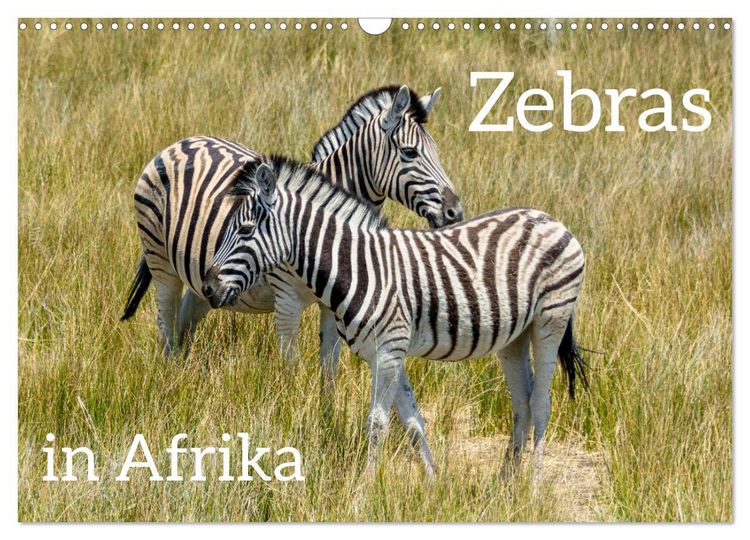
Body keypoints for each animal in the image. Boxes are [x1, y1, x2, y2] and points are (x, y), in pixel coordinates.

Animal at [121, 85, 463, 380]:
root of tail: (178, 144)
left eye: (436, 151)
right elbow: (290, 369)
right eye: (410, 152)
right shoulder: (286, 301)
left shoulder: (333, 304)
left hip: (201, 278)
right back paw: (169, 379)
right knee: (166, 323)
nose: (455, 212)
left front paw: (327, 413)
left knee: (184, 323)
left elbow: (330, 368)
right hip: (161, 261)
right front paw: (289, 409)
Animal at [202, 157, 588, 478]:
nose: (207, 288)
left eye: (246, 230)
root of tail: (551, 219)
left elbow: (378, 423)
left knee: (540, 402)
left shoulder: (388, 350)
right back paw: (506, 483)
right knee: (522, 402)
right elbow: (412, 420)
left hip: (550, 319)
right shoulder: (385, 353)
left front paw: (365, 487)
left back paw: (533, 485)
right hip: (514, 336)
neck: (357, 267)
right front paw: (433, 482)